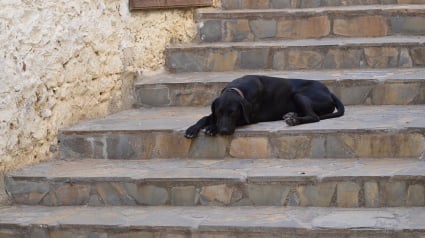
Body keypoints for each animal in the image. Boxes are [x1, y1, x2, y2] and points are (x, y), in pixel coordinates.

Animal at [184, 74, 342, 138]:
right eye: (219, 112)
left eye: (233, 113)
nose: (223, 131)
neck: (238, 89)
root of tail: (329, 91)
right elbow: (205, 117)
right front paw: (192, 129)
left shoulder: (250, 118)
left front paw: (212, 128)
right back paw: (292, 115)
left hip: (299, 95)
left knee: (314, 117)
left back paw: (294, 120)